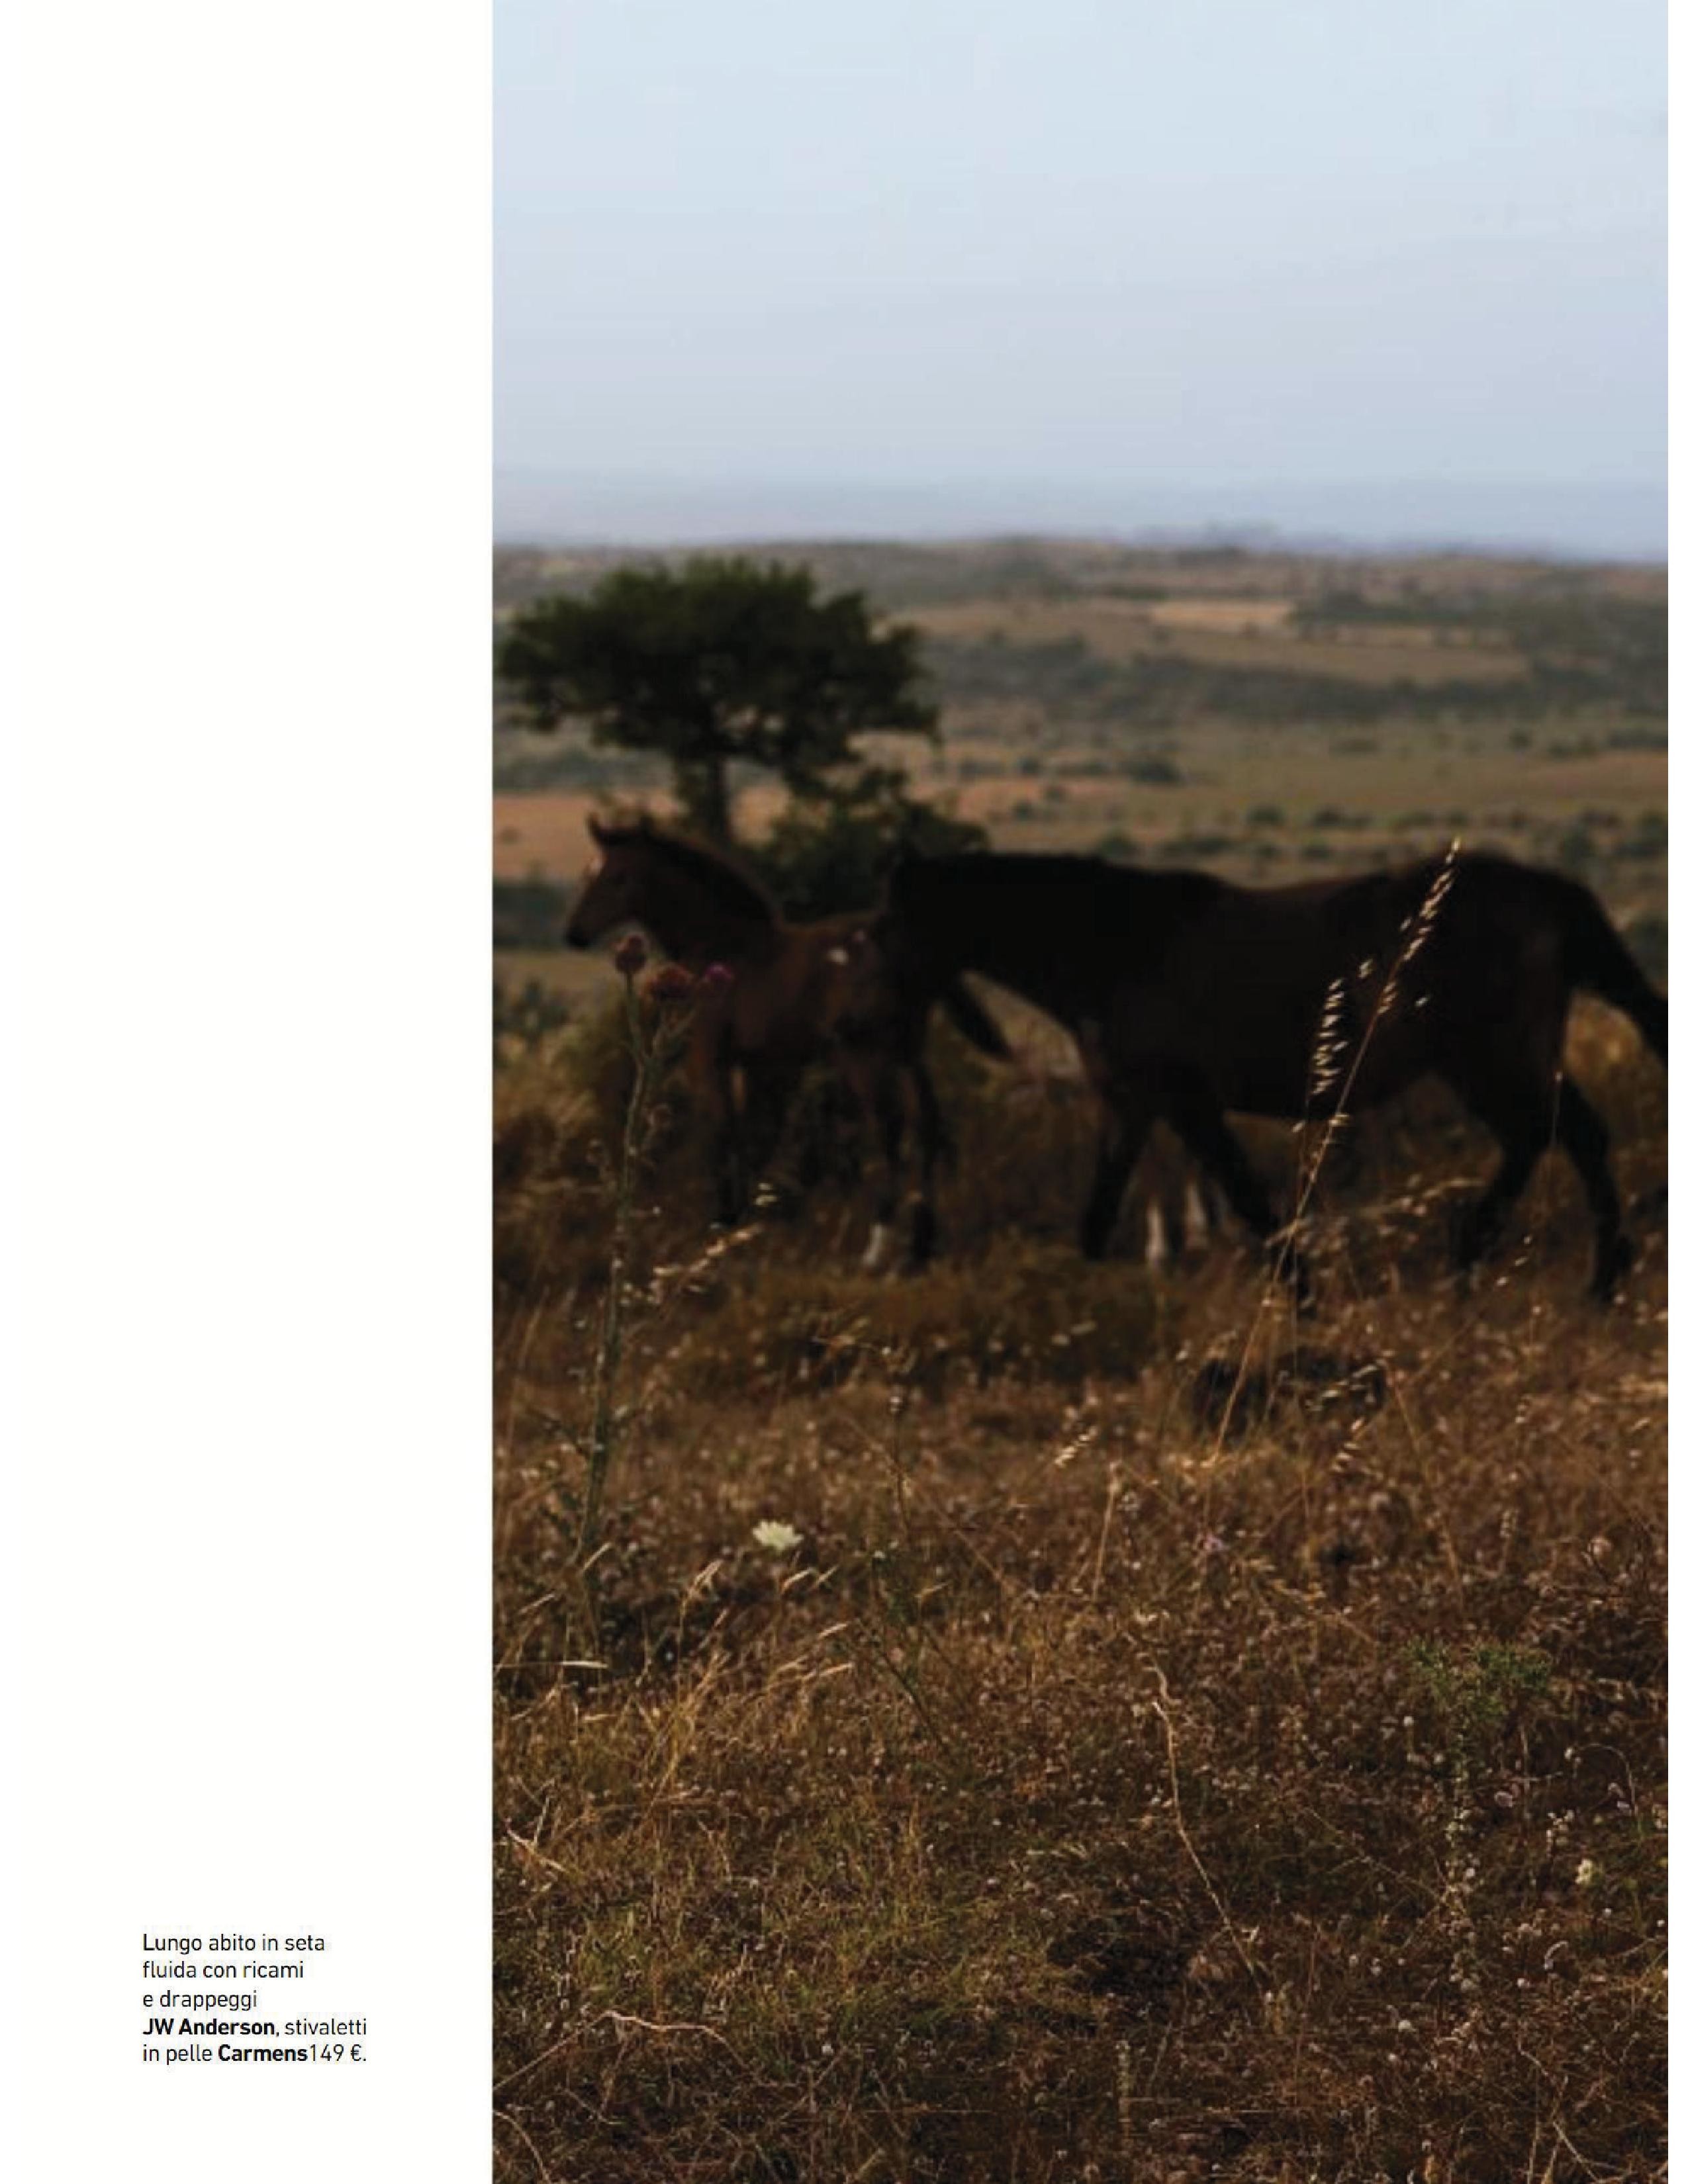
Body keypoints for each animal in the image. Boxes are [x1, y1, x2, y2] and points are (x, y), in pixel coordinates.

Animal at [565, 816, 1011, 1269]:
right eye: (589, 873)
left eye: (619, 877)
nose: (574, 934)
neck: (724, 946)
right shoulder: (764, 1066)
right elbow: (754, 1137)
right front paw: (746, 1220)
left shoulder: (709, 1058)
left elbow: (723, 1135)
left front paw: (723, 1222)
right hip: (908, 1049)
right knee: (928, 1124)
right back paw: (920, 1247)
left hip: (867, 1056)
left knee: (890, 1129)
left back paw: (877, 1247)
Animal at [875, 846, 1666, 1299]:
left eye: (885, 930)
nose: (885, 1024)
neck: (1112, 947)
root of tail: (1549, 892)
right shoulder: (1132, 1104)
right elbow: (1101, 1213)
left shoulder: (1180, 1099)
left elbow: (1244, 1197)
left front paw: (1302, 1296)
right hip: (1508, 1056)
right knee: (1569, 1136)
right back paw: (1569, 1275)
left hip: (1486, 1057)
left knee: (1549, 1136)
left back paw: (1507, 1267)